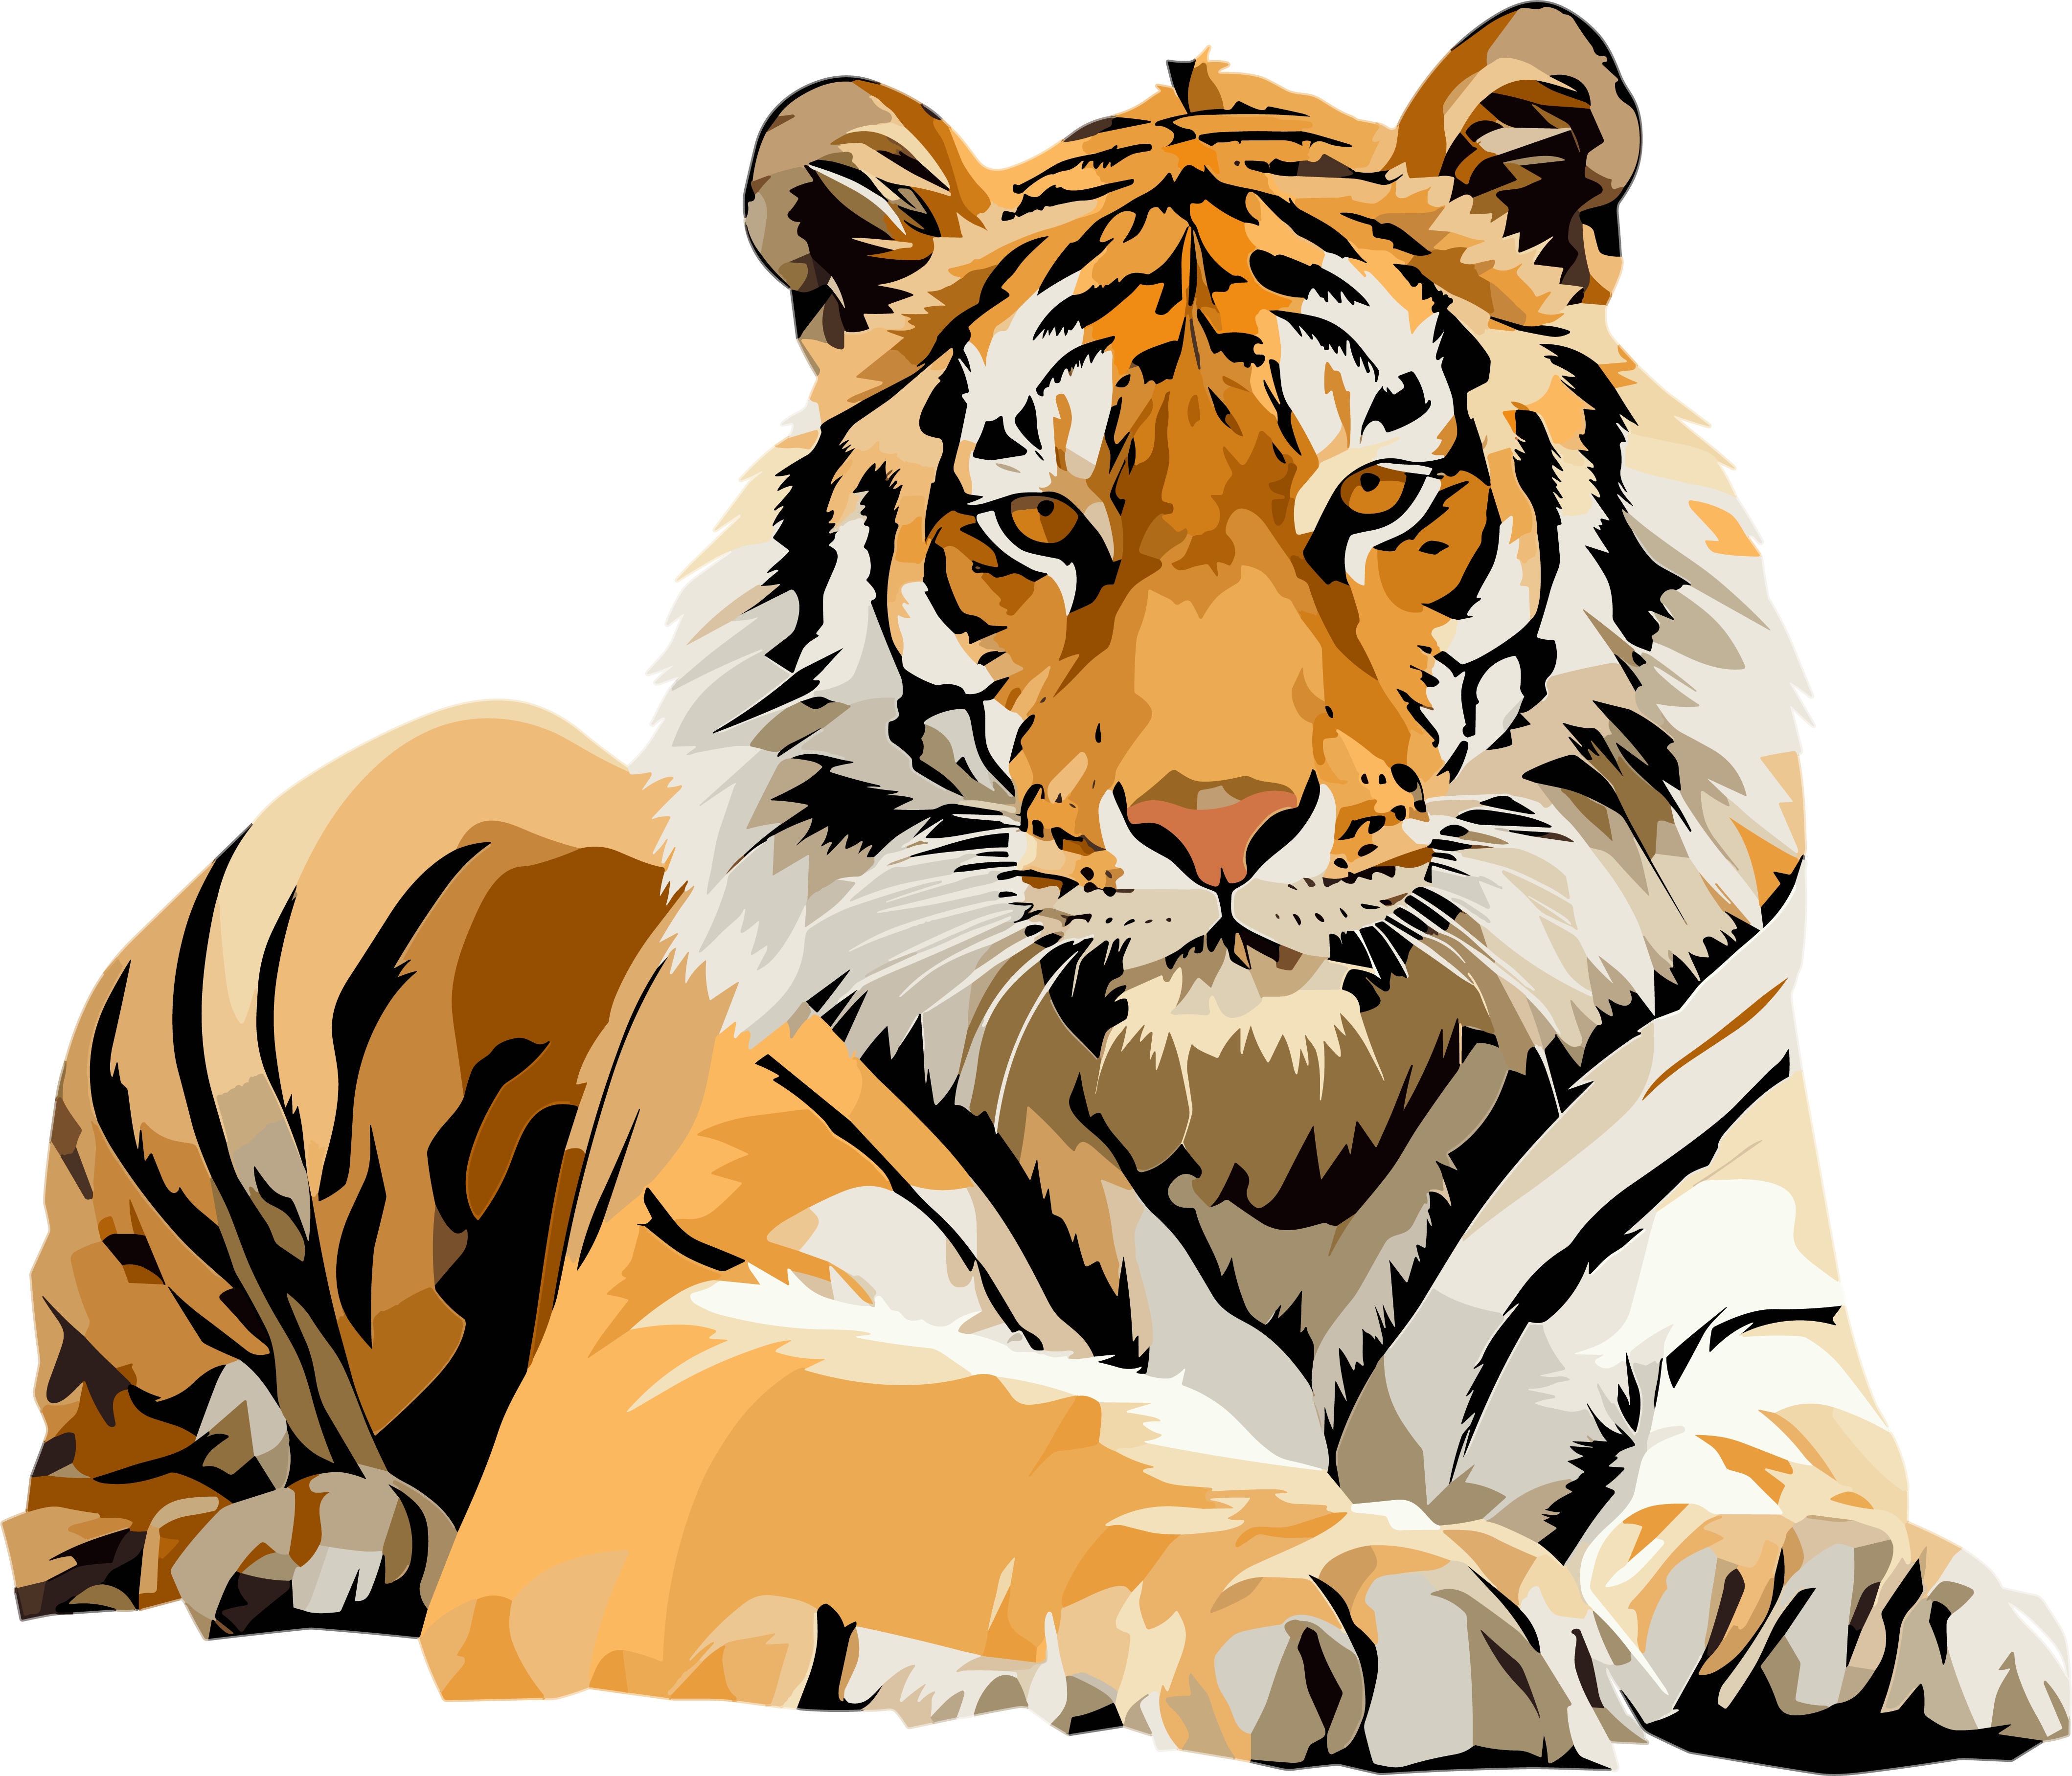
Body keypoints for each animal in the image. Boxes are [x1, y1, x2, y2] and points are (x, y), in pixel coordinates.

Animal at [9, 4, 2066, 1770]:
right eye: (1040, 526)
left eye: (1374, 497)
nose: (1219, 826)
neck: (1280, 1111)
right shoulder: (679, 1350)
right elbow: (1034, 1436)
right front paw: (1375, 1582)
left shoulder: (1721, 1309)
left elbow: (1791, 1456)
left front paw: (1872, 1590)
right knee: (95, 1485)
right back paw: (319, 1534)